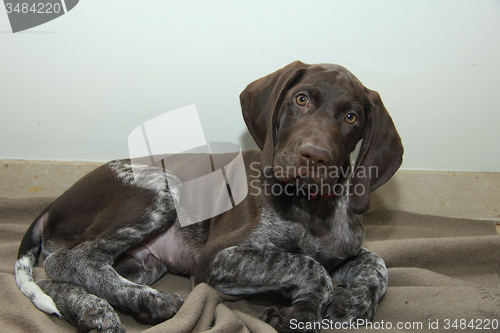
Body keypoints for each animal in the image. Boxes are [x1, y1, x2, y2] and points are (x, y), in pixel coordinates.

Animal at [15, 60, 404, 332]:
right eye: (302, 99)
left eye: (351, 117)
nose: (315, 156)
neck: (312, 210)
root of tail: (53, 205)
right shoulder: (218, 258)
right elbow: (308, 266)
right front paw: (305, 311)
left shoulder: (344, 252)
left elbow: (378, 265)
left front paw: (350, 305)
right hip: (162, 188)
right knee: (68, 260)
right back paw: (145, 302)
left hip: (145, 263)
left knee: (57, 277)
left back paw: (95, 309)